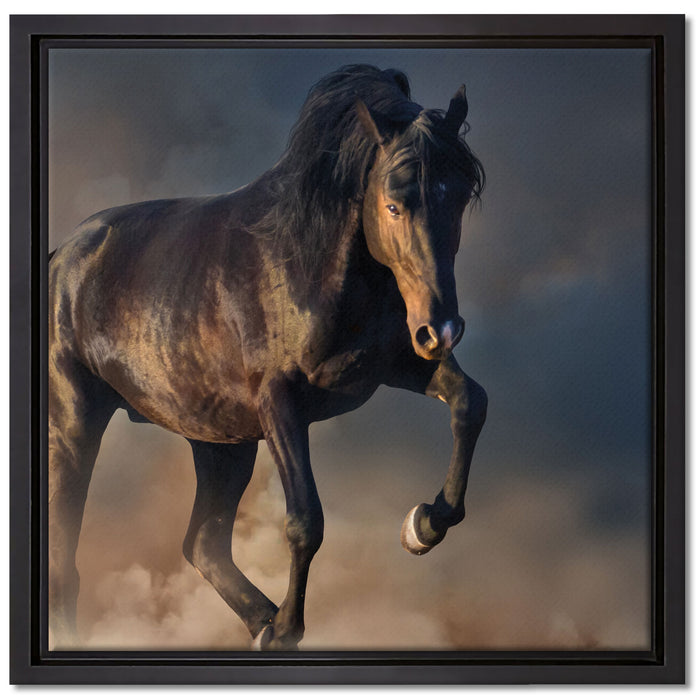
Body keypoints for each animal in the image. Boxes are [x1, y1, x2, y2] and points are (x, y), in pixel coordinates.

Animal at [48, 64, 487, 651]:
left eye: (459, 197)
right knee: (67, 562)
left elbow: (470, 402)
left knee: (204, 543)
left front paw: (424, 525)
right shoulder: (280, 403)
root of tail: (62, 258)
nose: (442, 329)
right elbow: (305, 520)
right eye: (393, 203)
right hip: (75, 425)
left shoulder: (397, 366)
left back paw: (259, 622)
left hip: (220, 443)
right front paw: (287, 629)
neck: (309, 264)